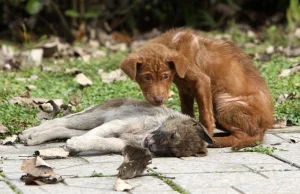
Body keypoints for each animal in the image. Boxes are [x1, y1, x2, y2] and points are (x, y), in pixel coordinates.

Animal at [18, 98, 212, 157]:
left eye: (172, 153)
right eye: (173, 135)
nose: (150, 147)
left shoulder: (122, 142)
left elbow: (102, 142)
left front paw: (76, 145)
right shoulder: (118, 123)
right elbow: (95, 136)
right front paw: (73, 146)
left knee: (63, 129)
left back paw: (34, 137)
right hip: (93, 117)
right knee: (59, 122)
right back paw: (30, 134)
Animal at [120, 27, 274, 149]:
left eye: (165, 76)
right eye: (147, 77)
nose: (158, 100)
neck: (173, 45)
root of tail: (265, 127)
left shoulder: (202, 81)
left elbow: (205, 115)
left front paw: (206, 135)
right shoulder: (185, 90)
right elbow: (187, 112)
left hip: (224, 103)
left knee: (242, 135)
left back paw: (216, 141)